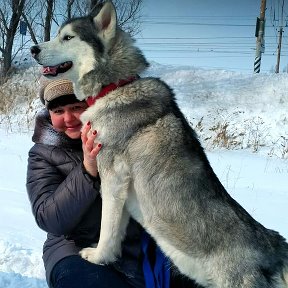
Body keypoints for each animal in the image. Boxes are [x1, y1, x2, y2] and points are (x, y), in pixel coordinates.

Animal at [31, 1, 288, 286]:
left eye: (68, 37)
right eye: (57, 34)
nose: (33, 49)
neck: (114, 87)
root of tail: (277, 251)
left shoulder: (112, 177)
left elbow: (106, 228)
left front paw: (98, 257)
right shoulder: (120, 189)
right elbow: (115, 231)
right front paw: (107, 257)